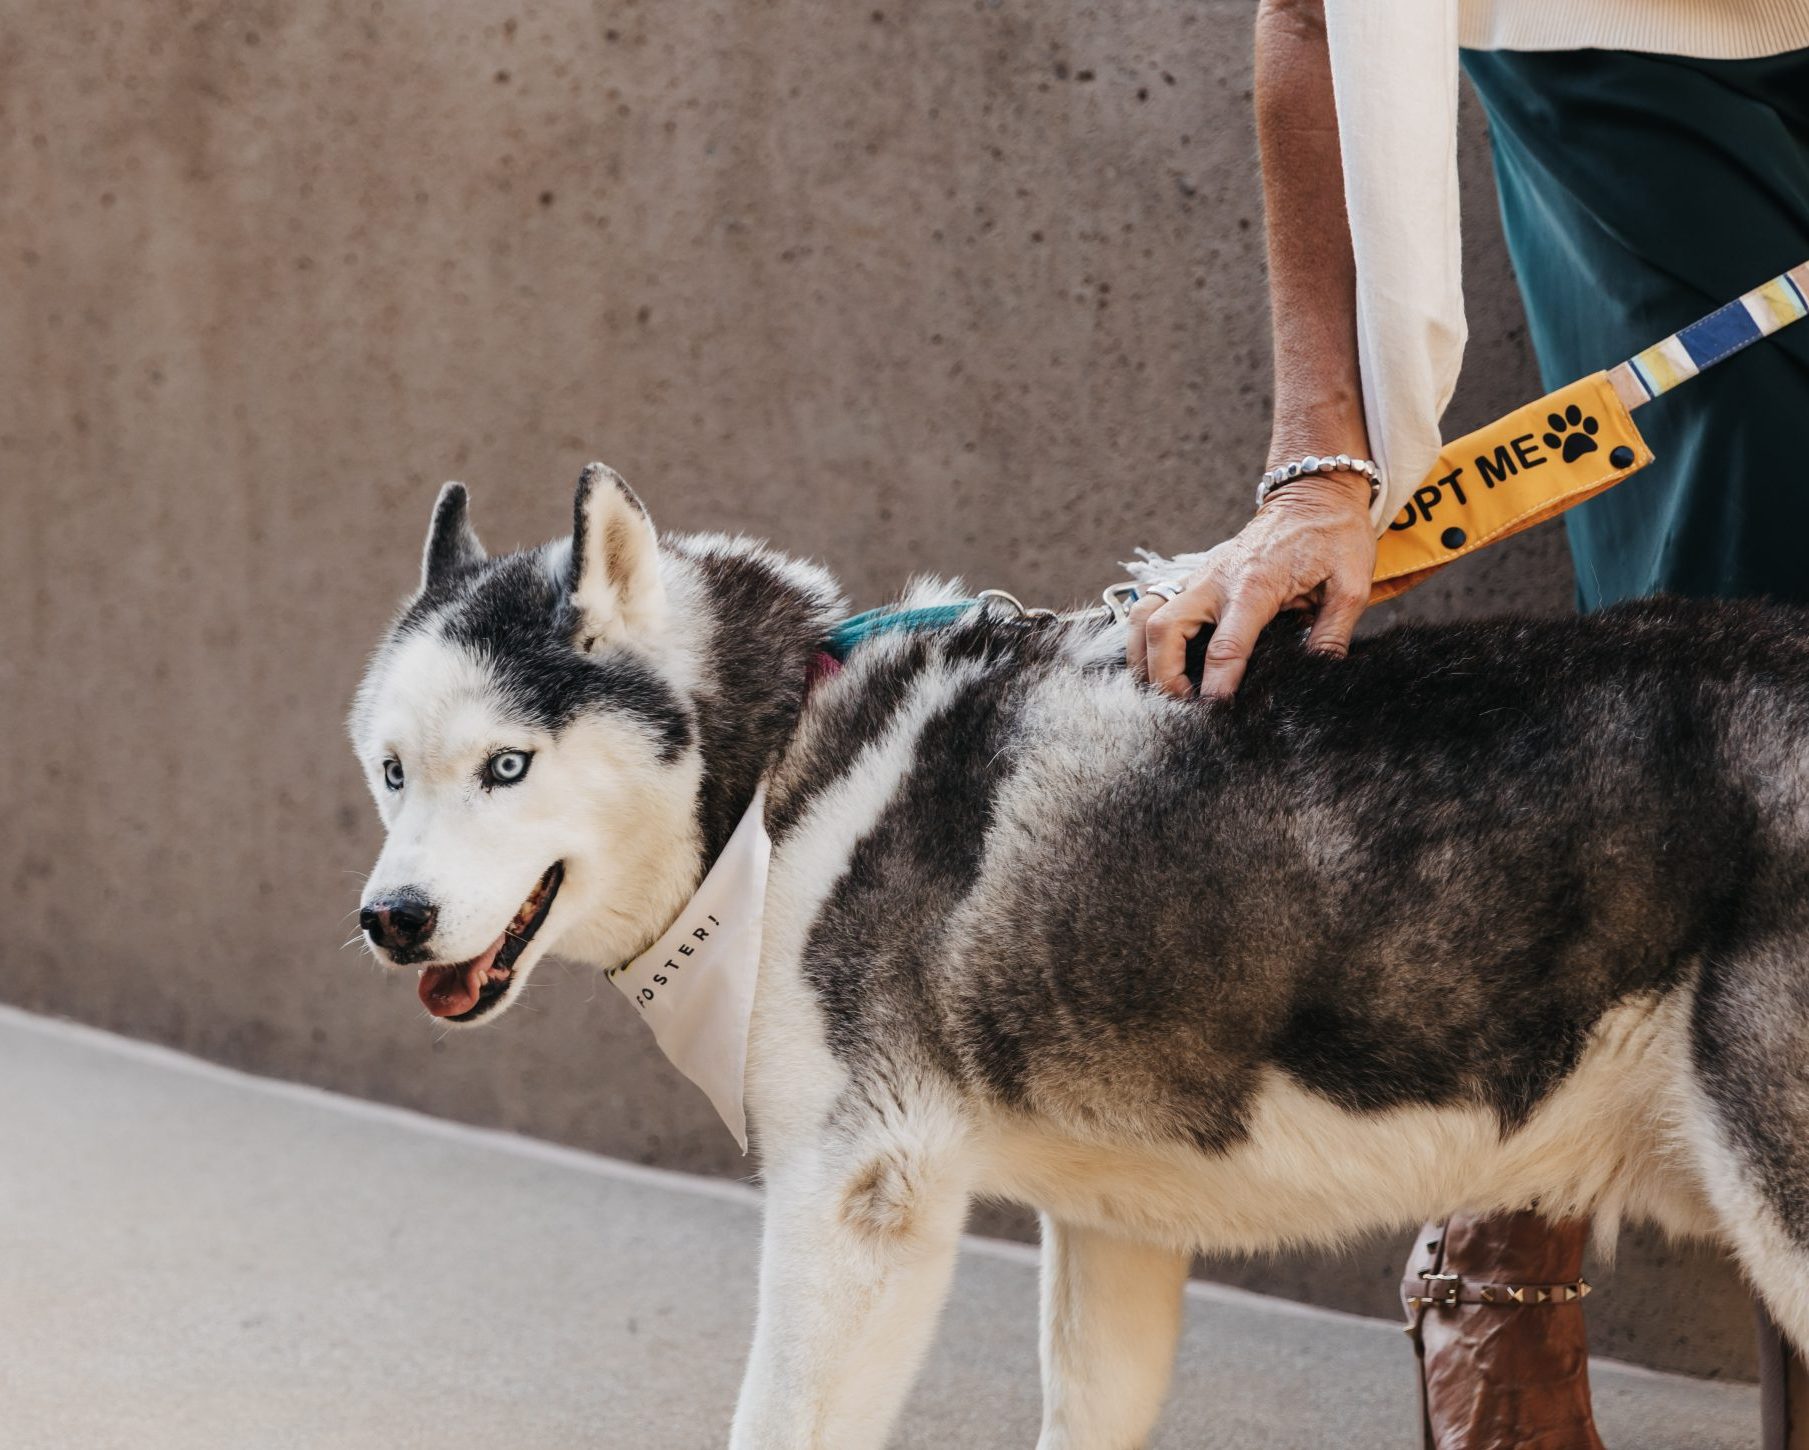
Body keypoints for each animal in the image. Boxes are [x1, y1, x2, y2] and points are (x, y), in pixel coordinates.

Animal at [352, 466, 1809, 1446]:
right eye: (390, 771)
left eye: (506, 766)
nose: (392, 917)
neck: (778, 778)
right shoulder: (1115, 1225)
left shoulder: (856, 1208)